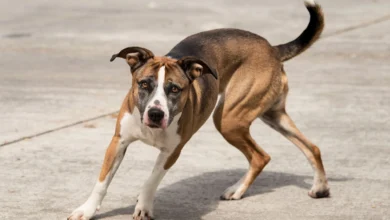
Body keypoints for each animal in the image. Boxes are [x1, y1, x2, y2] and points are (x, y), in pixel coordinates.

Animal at [68, 0, 330, 219]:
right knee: (312, 147)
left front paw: (143, 206)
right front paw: (86, 210)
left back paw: (237, 189)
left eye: (175, 89)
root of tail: (272, 49)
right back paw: (319, 187)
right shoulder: (118, 142)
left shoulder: (172, 152)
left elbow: (151, 181)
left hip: (229, 118)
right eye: (144, 84)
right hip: (272, 114)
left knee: (260, 156)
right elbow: (102, 182)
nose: (156, 114)